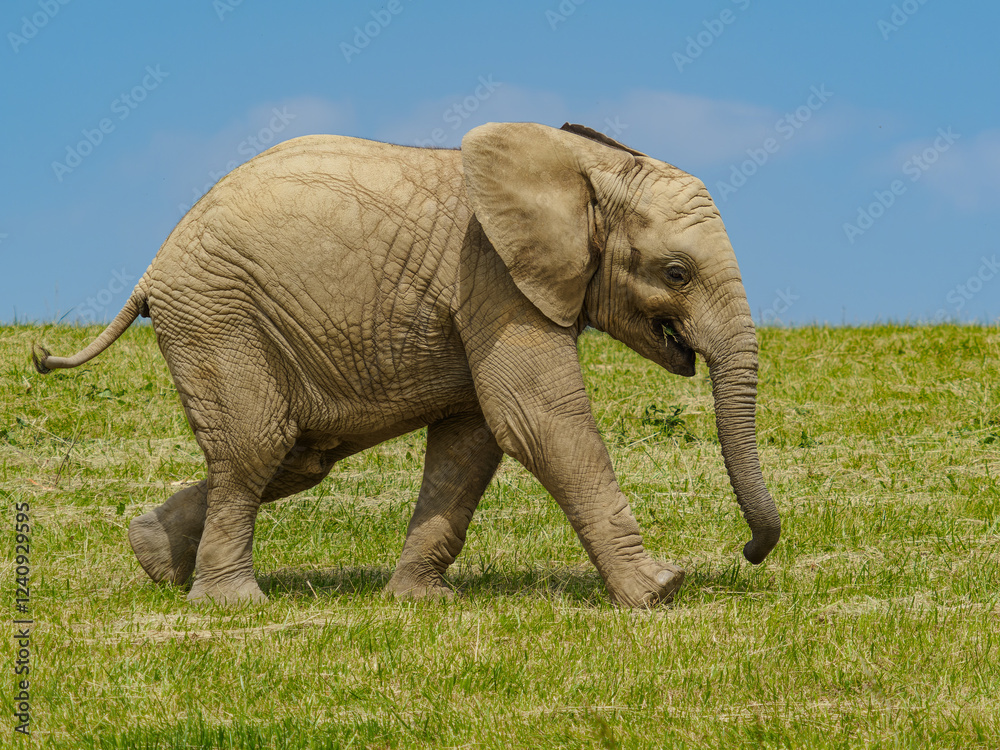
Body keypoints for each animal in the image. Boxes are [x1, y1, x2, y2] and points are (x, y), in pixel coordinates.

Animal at [33, 121, 781, 608]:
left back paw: (154, 560)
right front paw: (658, 593)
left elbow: (472, 442)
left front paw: (419, 602)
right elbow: (538, 419)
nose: (749, 553)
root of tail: (152, 268)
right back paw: (233, 605)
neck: (581, 165)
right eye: (676, 273)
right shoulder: (493, 275)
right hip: (218, 316)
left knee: (293, 457)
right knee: (256, 448)